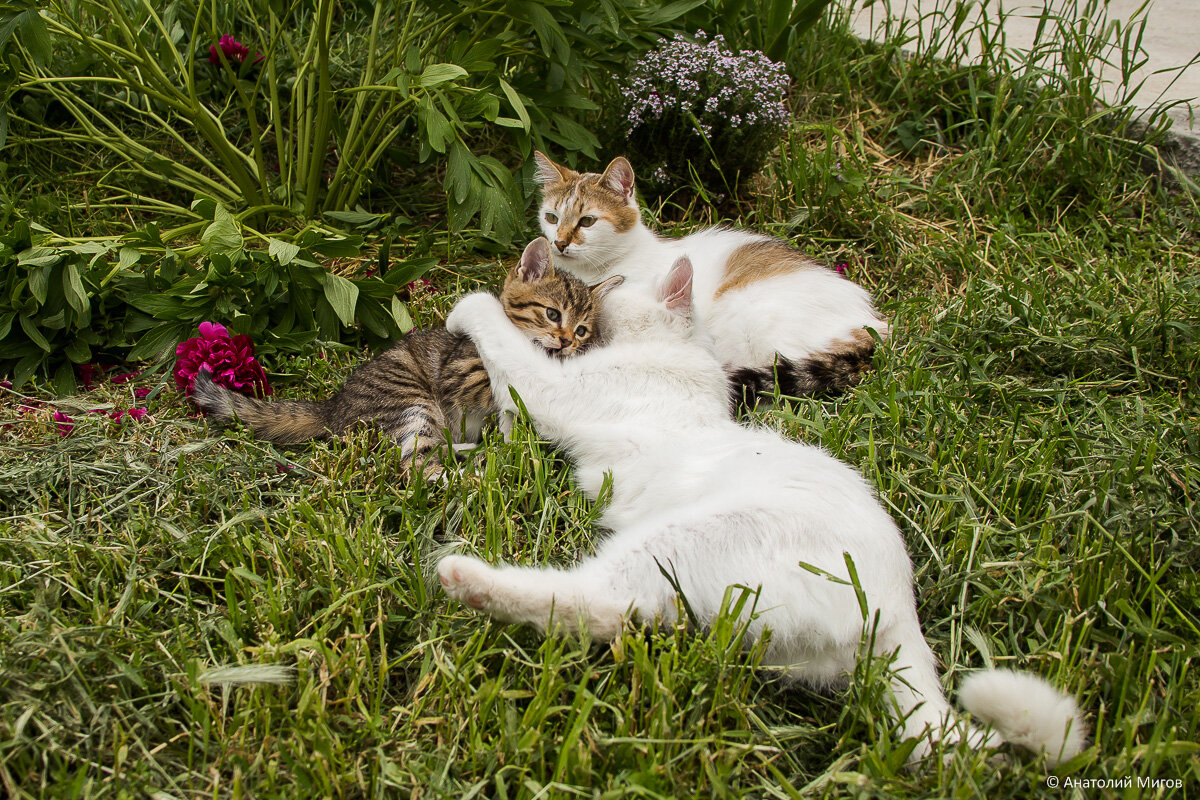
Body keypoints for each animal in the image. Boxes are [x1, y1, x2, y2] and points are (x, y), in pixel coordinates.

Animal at [192, 241, 624, 472]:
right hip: (410, 400)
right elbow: (500, 381)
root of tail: (333, 407)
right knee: (415, 464)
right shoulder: (459, 372)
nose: (567, 343)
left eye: (582, 330)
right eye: (552, 314)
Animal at [441, 241, 1089, 767]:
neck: (686, 359)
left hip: (684, 541)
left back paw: (464, 577)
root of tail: (900, 615)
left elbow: (505, 345)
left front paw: (468, 305)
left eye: (590, 324)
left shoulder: (553, 391)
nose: (572, 339)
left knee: (594, 604)